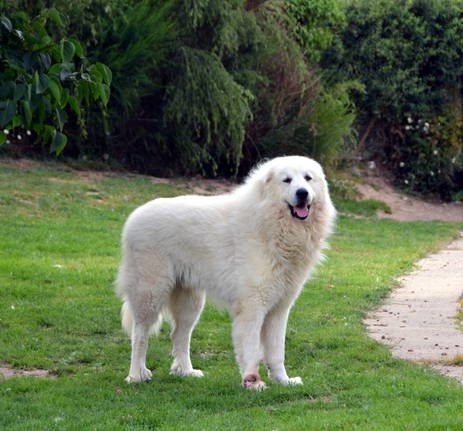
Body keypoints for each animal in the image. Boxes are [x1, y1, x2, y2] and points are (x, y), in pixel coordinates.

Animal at [115, 156, 334, 392]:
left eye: (307, 178)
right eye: (287, 180)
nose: (302, 193)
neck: (271, 224)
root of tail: (134, 215)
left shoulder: (279, 309)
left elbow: (276, 352)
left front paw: (283, 381)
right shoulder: (252, 307)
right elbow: (251, 348)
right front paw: (252, 382)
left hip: (191, 302)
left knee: (180, 335)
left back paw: (186, 371)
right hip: (150, 294)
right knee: (140, 335)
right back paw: (137, 375)